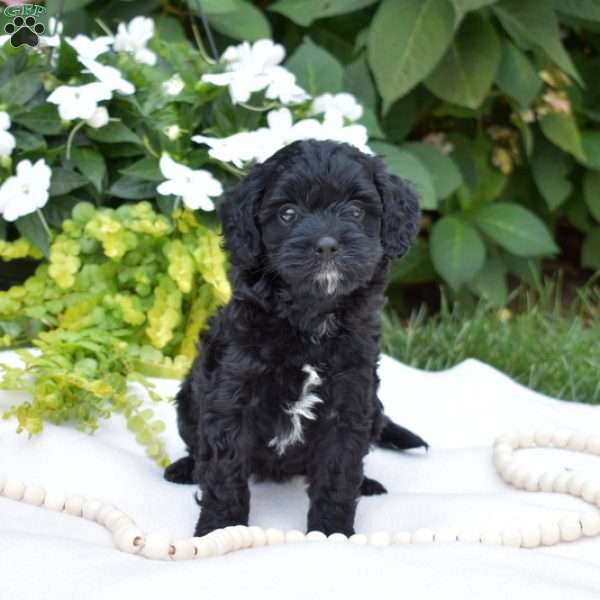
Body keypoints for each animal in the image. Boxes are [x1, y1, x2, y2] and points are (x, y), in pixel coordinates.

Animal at [164, 138, 426, 536]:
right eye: (288, 213)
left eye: (354, 211)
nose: (327, 244)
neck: (309, 321)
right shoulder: (231, 398)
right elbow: (224, 471)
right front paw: (219, 531)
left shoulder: (350, 401)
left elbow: (339, 472)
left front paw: (331, 533)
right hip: (188, 400)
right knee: (196, 448)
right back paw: (185, 469)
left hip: (375, 409)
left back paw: (368, 484)